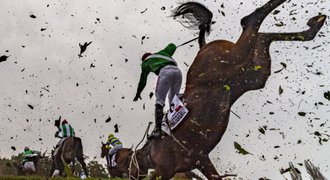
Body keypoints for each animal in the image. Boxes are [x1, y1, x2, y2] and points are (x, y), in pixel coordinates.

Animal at [110, 0, 324, 179]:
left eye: (117, 167)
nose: (117, 176)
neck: (150, 153)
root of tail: (203, 47)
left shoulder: (165, 170)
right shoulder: (202, 159)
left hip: (228, 60)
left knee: (250, 21)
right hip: (251, 75)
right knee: (263, 39)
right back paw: (313, 27)